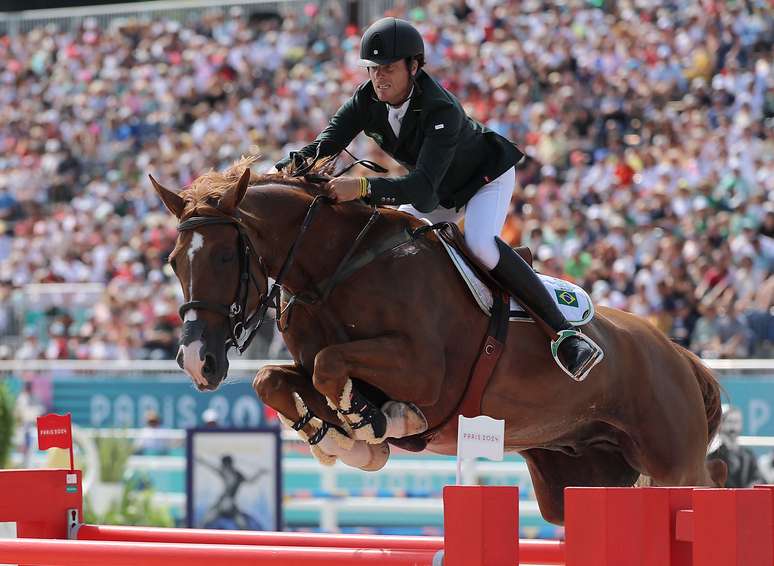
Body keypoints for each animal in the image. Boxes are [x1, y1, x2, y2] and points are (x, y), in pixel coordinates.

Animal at [152, 162, 728, 524]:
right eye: (174, 262)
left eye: (226, 257)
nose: (197, 363)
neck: (336, 268)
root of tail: (681, 355)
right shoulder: (316, 364)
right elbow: (277, 379)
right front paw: (346, 440)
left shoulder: (425, 371)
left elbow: (332, 366)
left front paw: (380, 425)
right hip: (580, 481)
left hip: (672, 463)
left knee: (711, 480)